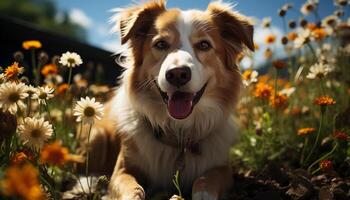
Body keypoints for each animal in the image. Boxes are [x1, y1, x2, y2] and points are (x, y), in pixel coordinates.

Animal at [80, 0, 253, 199]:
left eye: (204, 45)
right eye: (161, 44)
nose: (177, 74)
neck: (178, 131)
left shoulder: (223, 168)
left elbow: (206, 180)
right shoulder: (122, 171)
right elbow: (132, 188)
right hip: (97, 136)